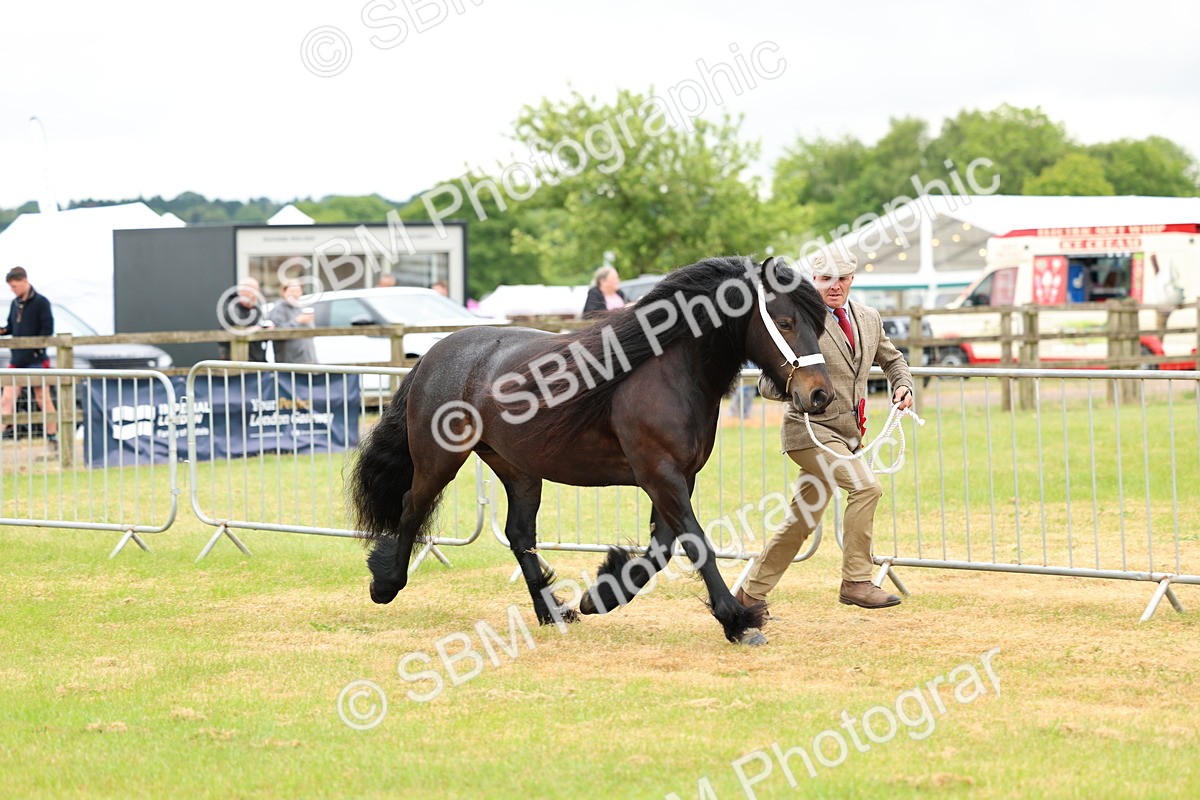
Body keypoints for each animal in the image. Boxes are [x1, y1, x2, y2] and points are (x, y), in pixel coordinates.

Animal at [349, 255, 834, 645]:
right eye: (785, 322)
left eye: (819, 323)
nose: (820, 396)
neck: (667, 372)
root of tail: (433, 355)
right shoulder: (661, 475)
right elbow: (696, 544)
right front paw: (738, 621)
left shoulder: (677, 478)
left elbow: (661, 550)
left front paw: (598, 595)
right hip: (439, 460)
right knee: (412, 508)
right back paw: (385, 585)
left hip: (518, 469)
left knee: (519, 534)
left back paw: (551, 612)